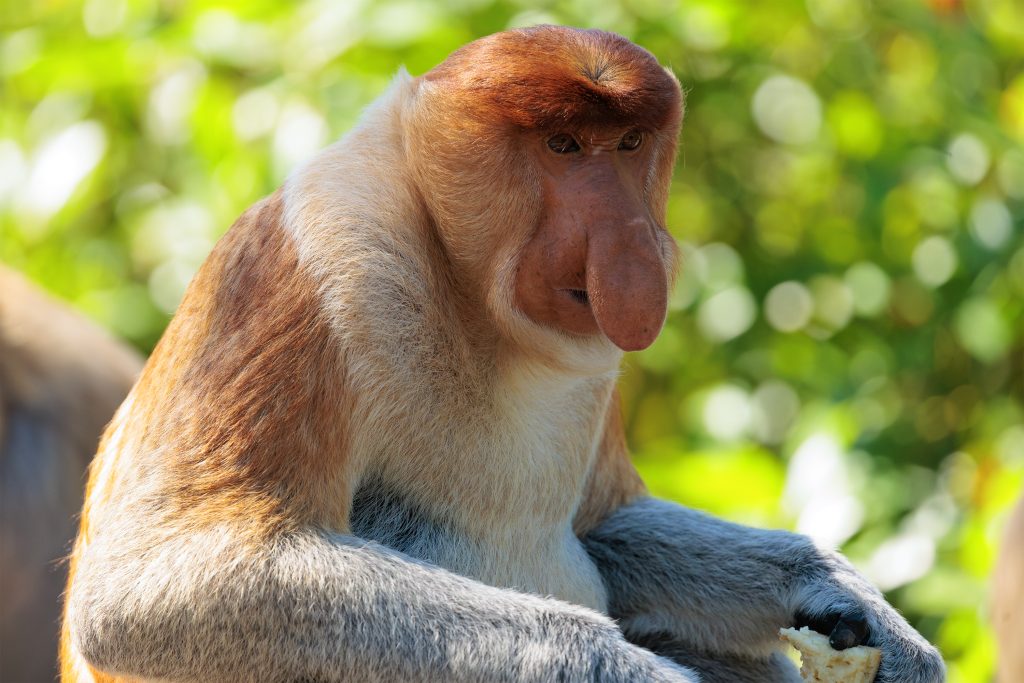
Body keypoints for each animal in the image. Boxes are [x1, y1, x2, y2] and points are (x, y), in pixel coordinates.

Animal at [60, 26, 945, 682]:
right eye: (562, 146)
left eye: (629, 144)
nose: (635, 243)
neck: (480, 314)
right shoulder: (310, 261)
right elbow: (155, 589)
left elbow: (606, 523)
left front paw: (852, 603)